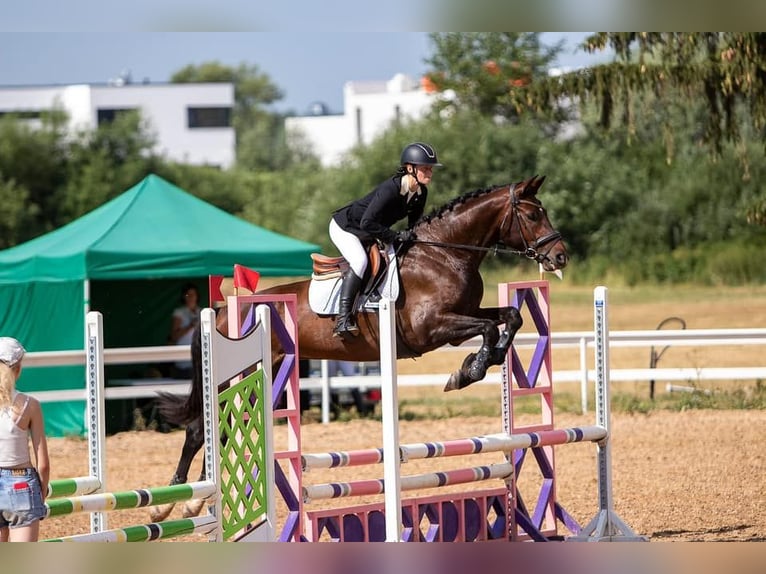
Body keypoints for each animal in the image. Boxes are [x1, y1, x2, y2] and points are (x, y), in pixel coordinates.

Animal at [152, 176, 568, 520]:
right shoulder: (432, 328)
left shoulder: (460, 318)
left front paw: (477, 363)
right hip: (236, 378)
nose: (560, 256)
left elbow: (511, 317)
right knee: (198, 430)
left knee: (219, 432)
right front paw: (470, 369)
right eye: (533, 214)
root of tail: (223, 310)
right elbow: (488, 328)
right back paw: (174, 503)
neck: (446, 254)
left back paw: (194, 501)